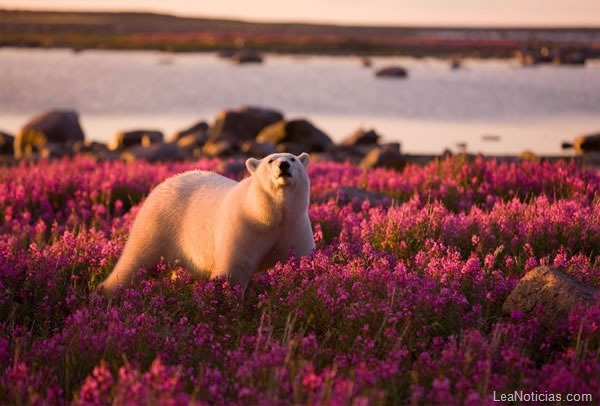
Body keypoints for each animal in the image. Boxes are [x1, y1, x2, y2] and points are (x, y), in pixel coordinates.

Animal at [99, 152, 314, 298]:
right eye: (270, 160)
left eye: (293, 159)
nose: (284, 165)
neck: (271, 215)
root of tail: (161, 185)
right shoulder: (246, 227)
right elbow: (233, 269)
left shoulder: (295, 228)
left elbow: (301, 262)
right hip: (158, 223)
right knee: (135, 259)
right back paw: (108, 291)